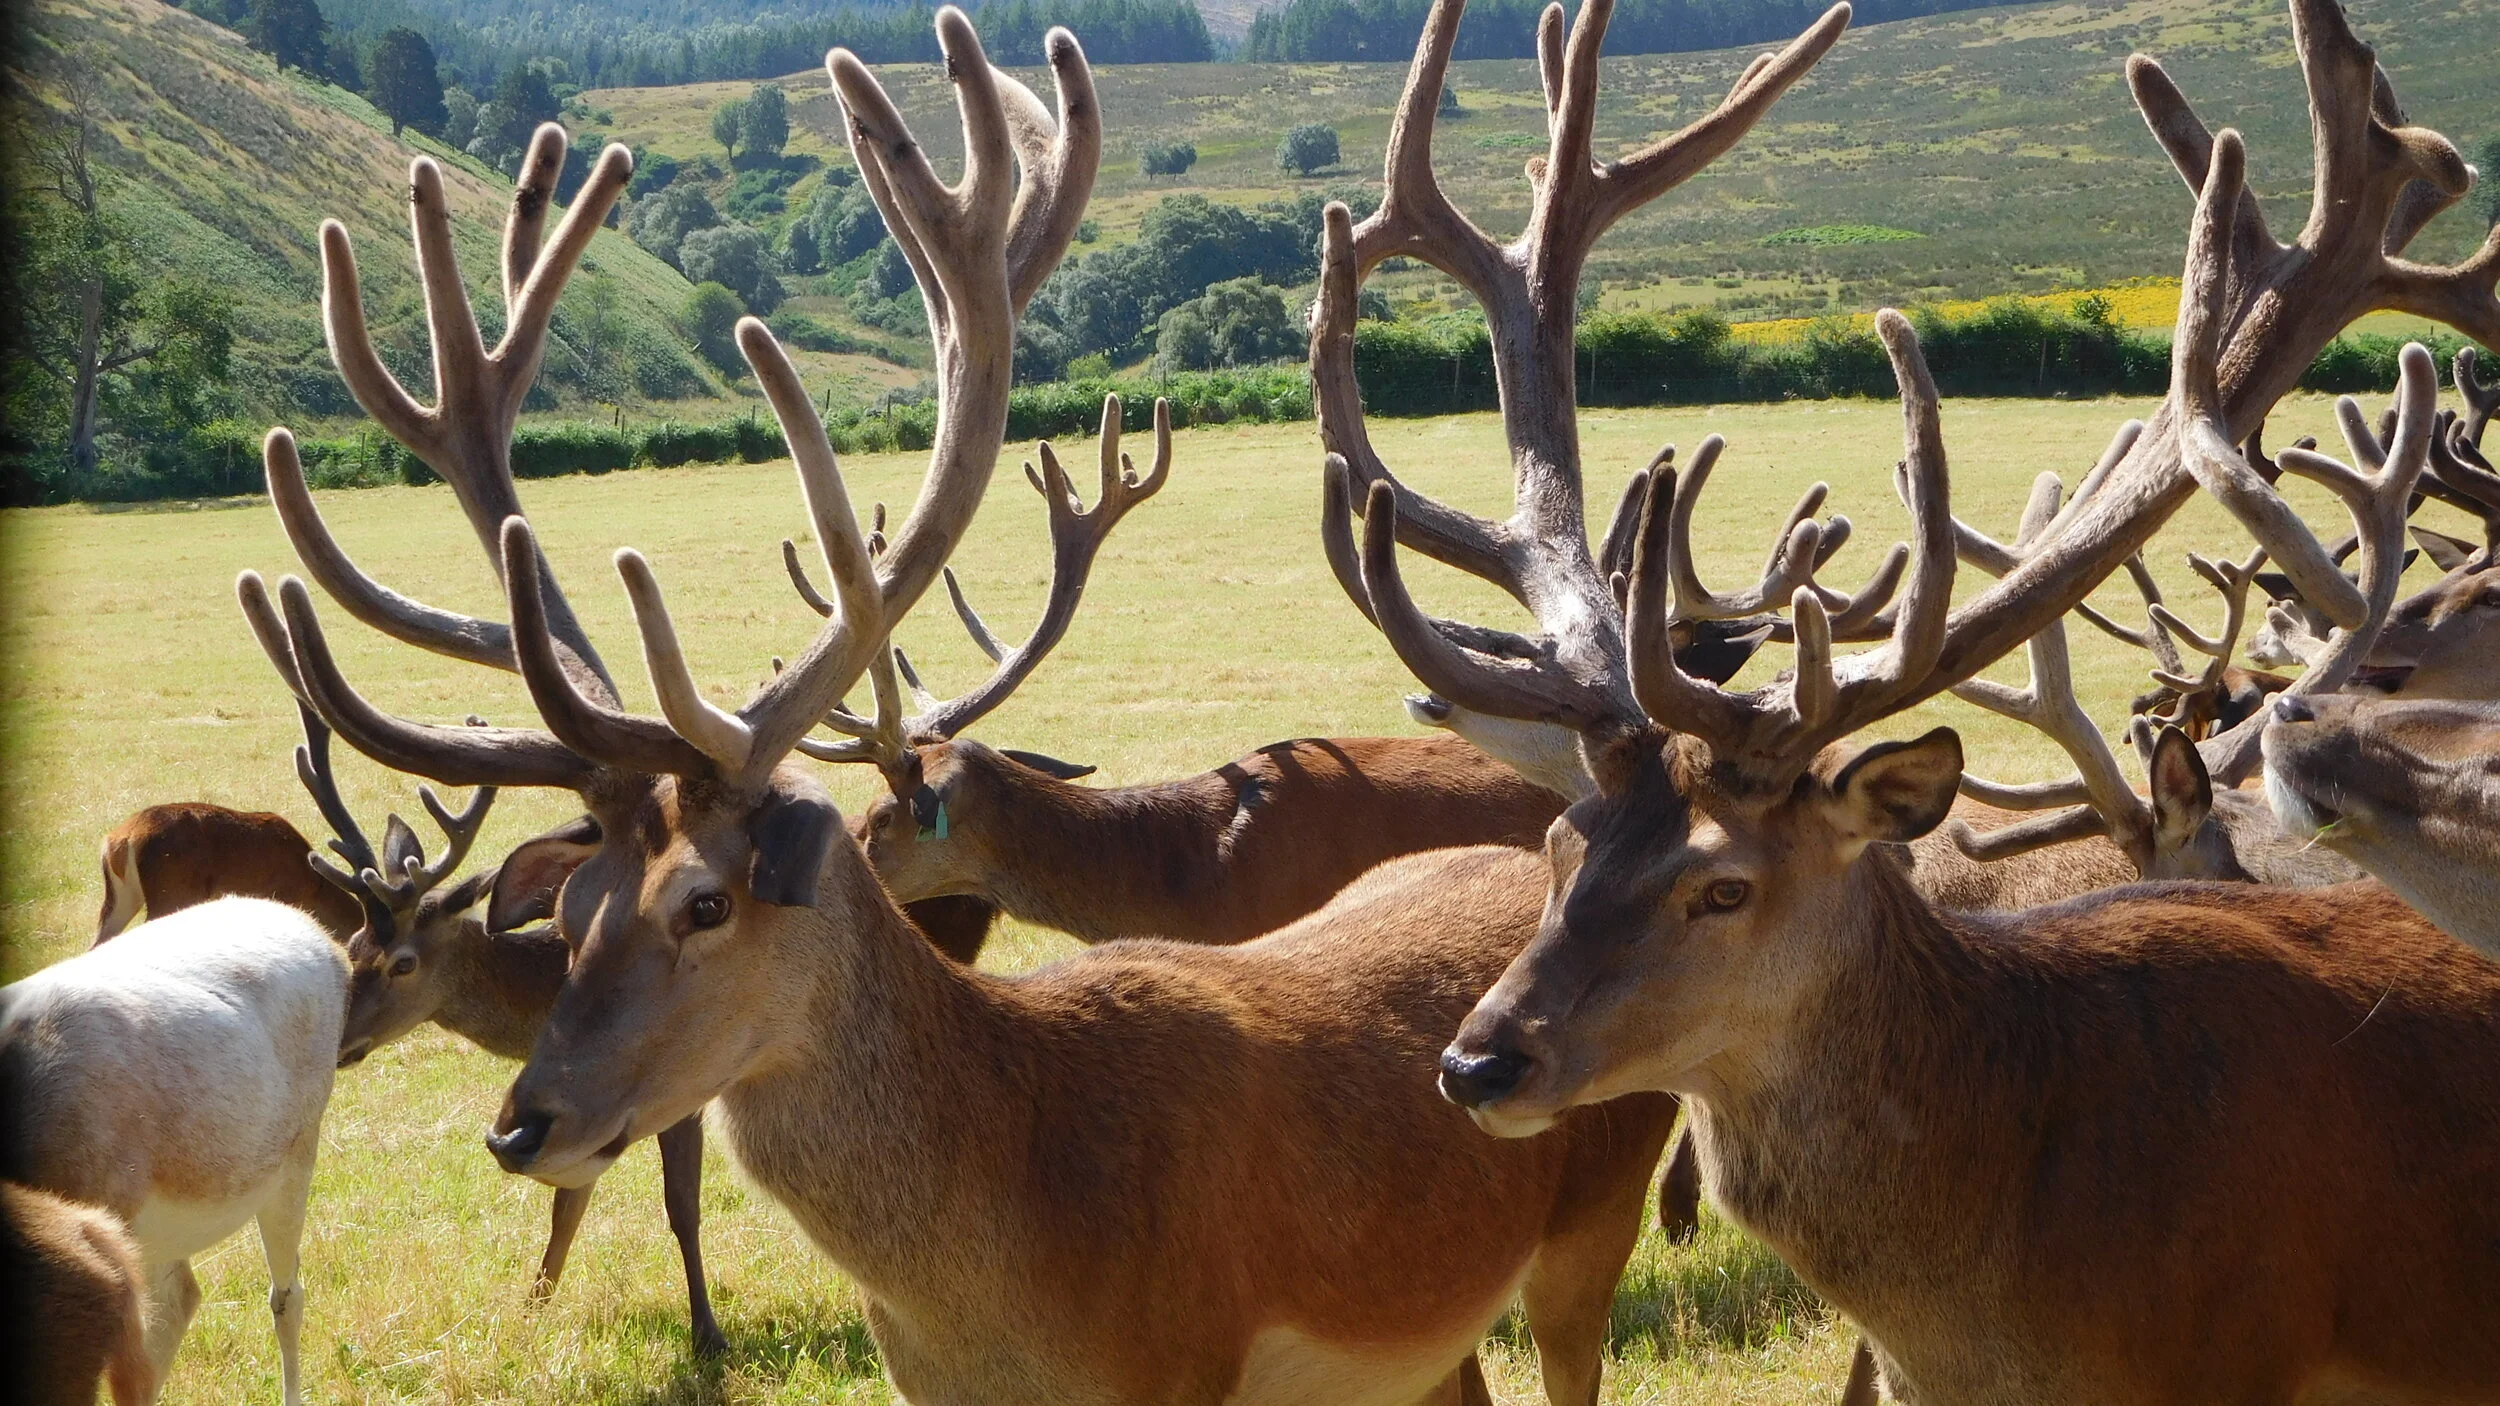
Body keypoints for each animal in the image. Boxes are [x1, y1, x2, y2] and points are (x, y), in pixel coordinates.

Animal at [223, 9, 1873, 1395]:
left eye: (707, 899)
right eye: (567, 910)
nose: (524, 1122)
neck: (1009, 1268)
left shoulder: (1183, 1362)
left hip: (1578, 1233)